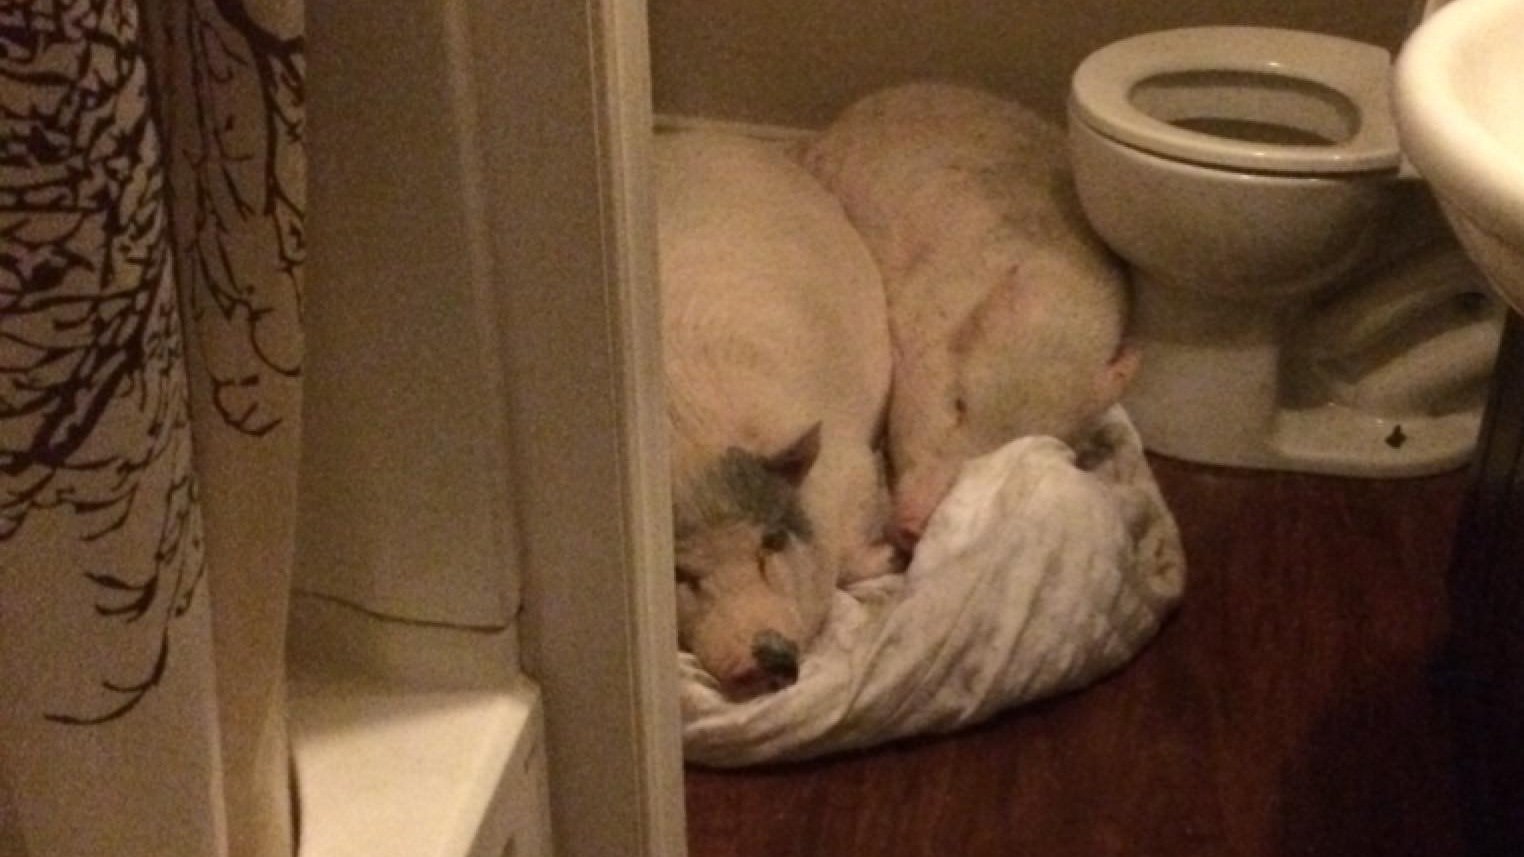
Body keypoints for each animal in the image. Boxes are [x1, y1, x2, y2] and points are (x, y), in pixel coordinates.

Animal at [656, 131, 897, 698]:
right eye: (680, 574)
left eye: (771, 541)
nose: (766, 656)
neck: (689, 437)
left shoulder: (853, 460)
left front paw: (893, 557)